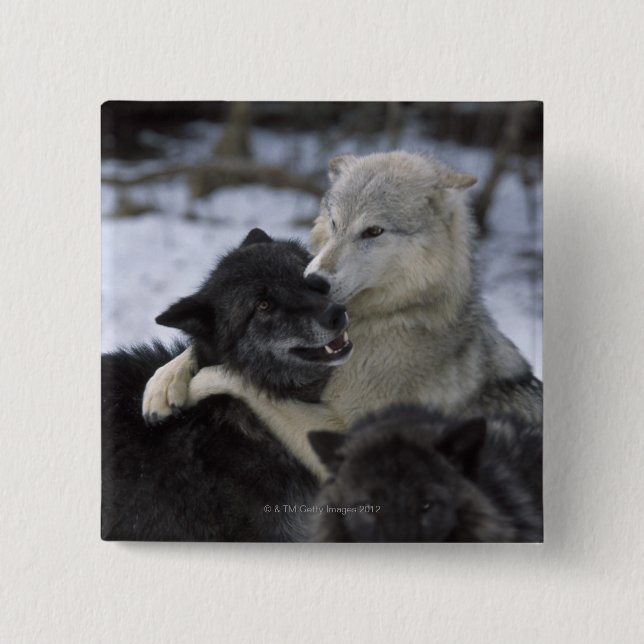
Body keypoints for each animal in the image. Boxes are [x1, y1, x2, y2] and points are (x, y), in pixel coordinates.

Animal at [142, 152, 542, 476]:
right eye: (335, 223)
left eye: (374, 231)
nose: (315, 281)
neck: (389, 317)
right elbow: (195, 351)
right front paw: (162, 385)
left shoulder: (345, 434)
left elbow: (239, 378)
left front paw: (196, 384)